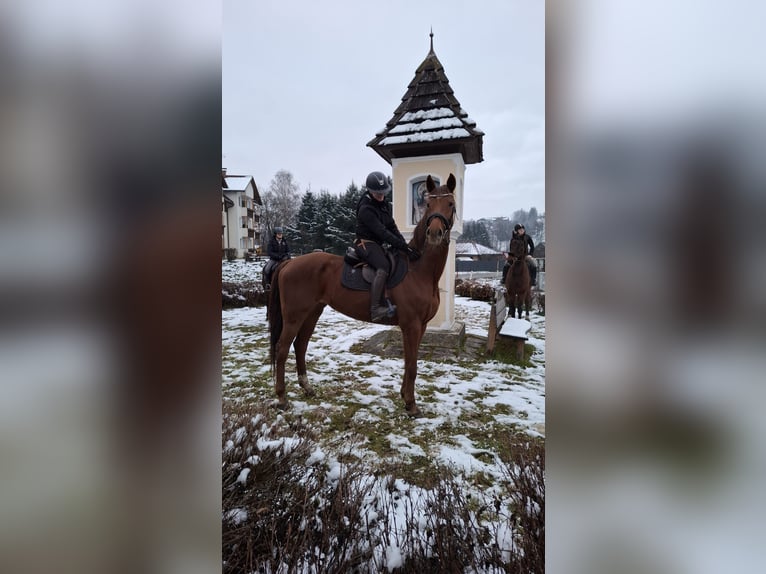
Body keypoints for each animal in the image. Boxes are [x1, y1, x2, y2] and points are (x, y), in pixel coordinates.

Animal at [267, 174, 457, 417]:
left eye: (450, 204)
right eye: (429, 205)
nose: (434, 234)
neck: (418, 269)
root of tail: (289, 262)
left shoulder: (420, 326)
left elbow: (409, 362)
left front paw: (405, 396)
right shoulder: (412, 325)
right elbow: (413, 365)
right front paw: (411, 405)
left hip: (312, 313)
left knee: (300, 345)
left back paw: (307, 388)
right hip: (294, 316)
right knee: (282, 349)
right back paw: (282, 398)